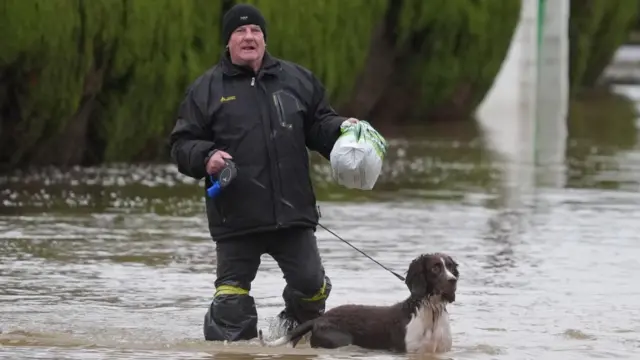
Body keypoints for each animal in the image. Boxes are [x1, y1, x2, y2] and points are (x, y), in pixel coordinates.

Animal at [258, 253, 458, 354]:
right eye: (435, 268)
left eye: (451, 267)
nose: (453, 280)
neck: (432, 312)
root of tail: (318, 320)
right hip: (339, 340)